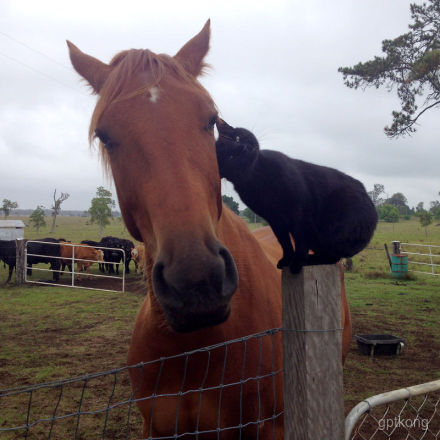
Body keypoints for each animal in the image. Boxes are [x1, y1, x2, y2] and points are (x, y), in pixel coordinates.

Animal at [215, 118, 376, 274]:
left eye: (237, 138)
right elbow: (284, 242)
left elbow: (300, 240)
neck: (258, 178)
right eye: (231, 156)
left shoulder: (300, 213)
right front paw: (287, 260)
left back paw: (308, 259)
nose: (244, 148)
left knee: (332, 256)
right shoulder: (276, 220)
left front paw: (297, 261)